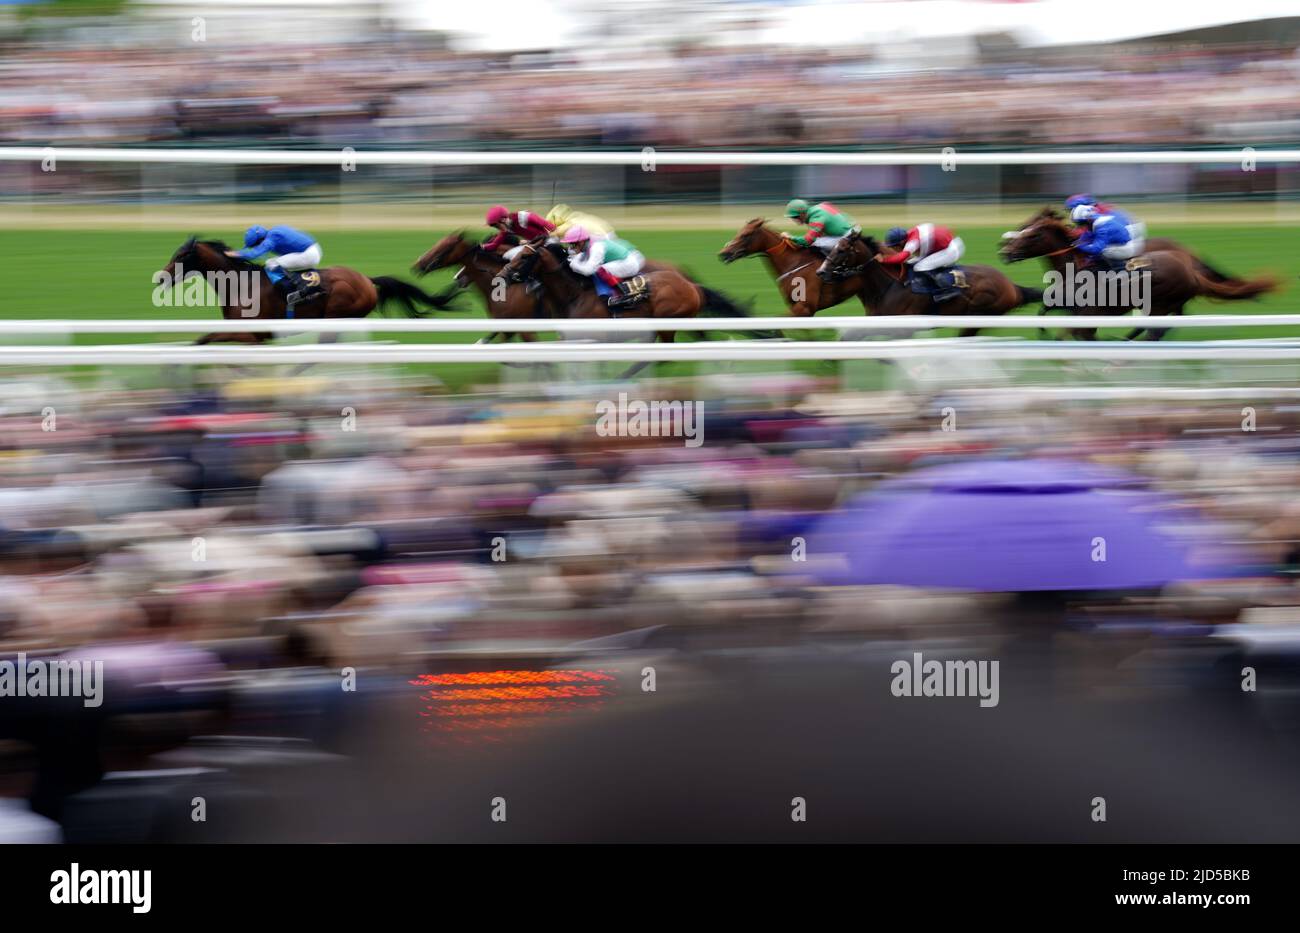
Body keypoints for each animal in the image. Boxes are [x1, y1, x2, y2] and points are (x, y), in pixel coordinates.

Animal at [157, 237, 457, 348]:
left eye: (181, 255)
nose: (160, 277)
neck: (242, 284)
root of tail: (366, 279)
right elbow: (203, 340)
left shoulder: (254, 335)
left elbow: (204, 339)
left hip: (336, 315)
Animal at [821, 232, 1045, 337]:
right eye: (832, 247)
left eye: (841, 250)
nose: (820, 272)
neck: (889, 286)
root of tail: (1012, 286)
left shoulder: (902, 328)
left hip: (978, 316)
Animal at [998, 214, 1274, 340]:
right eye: (1024, 228)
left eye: (1032, 234)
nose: (1005, 251)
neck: (1077, 265)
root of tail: (1190, 264)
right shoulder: (1068, 307)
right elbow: (1044, 312)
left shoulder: (1089, 312)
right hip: (1168, 303)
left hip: (1161, 303)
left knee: (1156, 328)